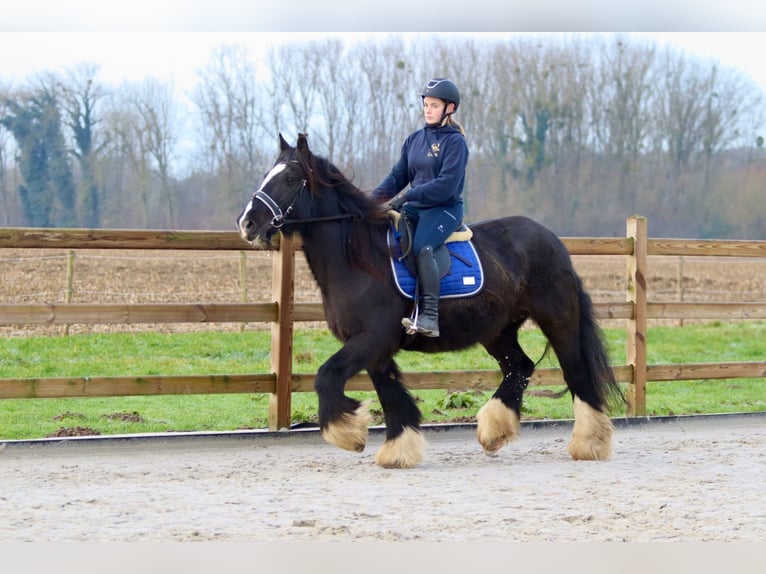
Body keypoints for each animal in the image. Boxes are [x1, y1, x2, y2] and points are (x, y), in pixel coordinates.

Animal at [238, 134, 624, 468]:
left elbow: (326, 376)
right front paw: (397, 449)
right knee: (520, 367)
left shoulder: (371, 339)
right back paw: (495, 431)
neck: (361, 259)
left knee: (575, 371)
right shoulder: (375, 348)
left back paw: (589, 443)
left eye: (290, 178)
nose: (247, 223)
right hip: (498, 330)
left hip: (558, 319)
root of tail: (553, 241)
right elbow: (391, 394)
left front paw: (348, 433)